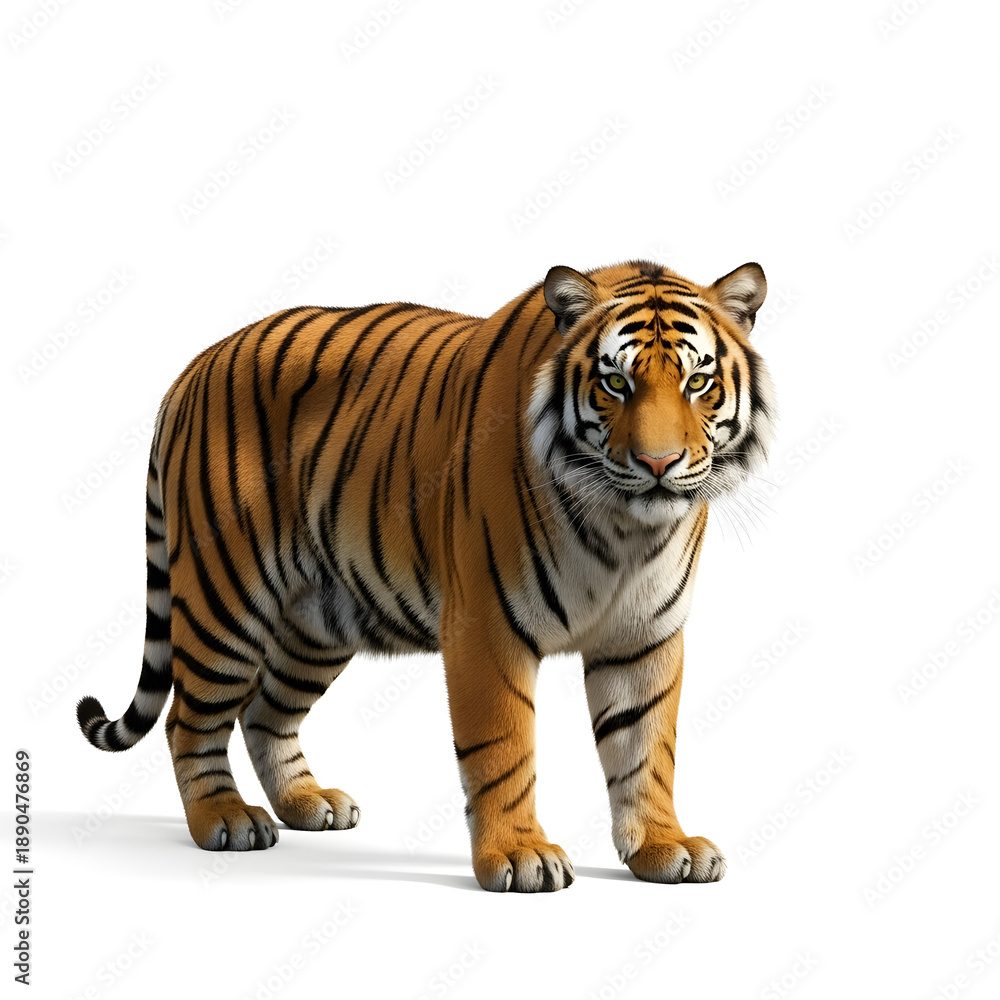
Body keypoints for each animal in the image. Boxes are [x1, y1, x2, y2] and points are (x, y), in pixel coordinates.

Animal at [76, 258, 775, 892]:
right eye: (616, 384)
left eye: (698, 383)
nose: (658, 463)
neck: (626, 530)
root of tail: (192, 368)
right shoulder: (488, 628)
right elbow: (504, 747)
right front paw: (520, 856)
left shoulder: (644, 636)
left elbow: (645, 749)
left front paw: (663, 847)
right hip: (223, 599)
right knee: (188, 719)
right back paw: (224, 819)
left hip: (318, 621)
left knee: (265, 712)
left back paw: (308, 804)